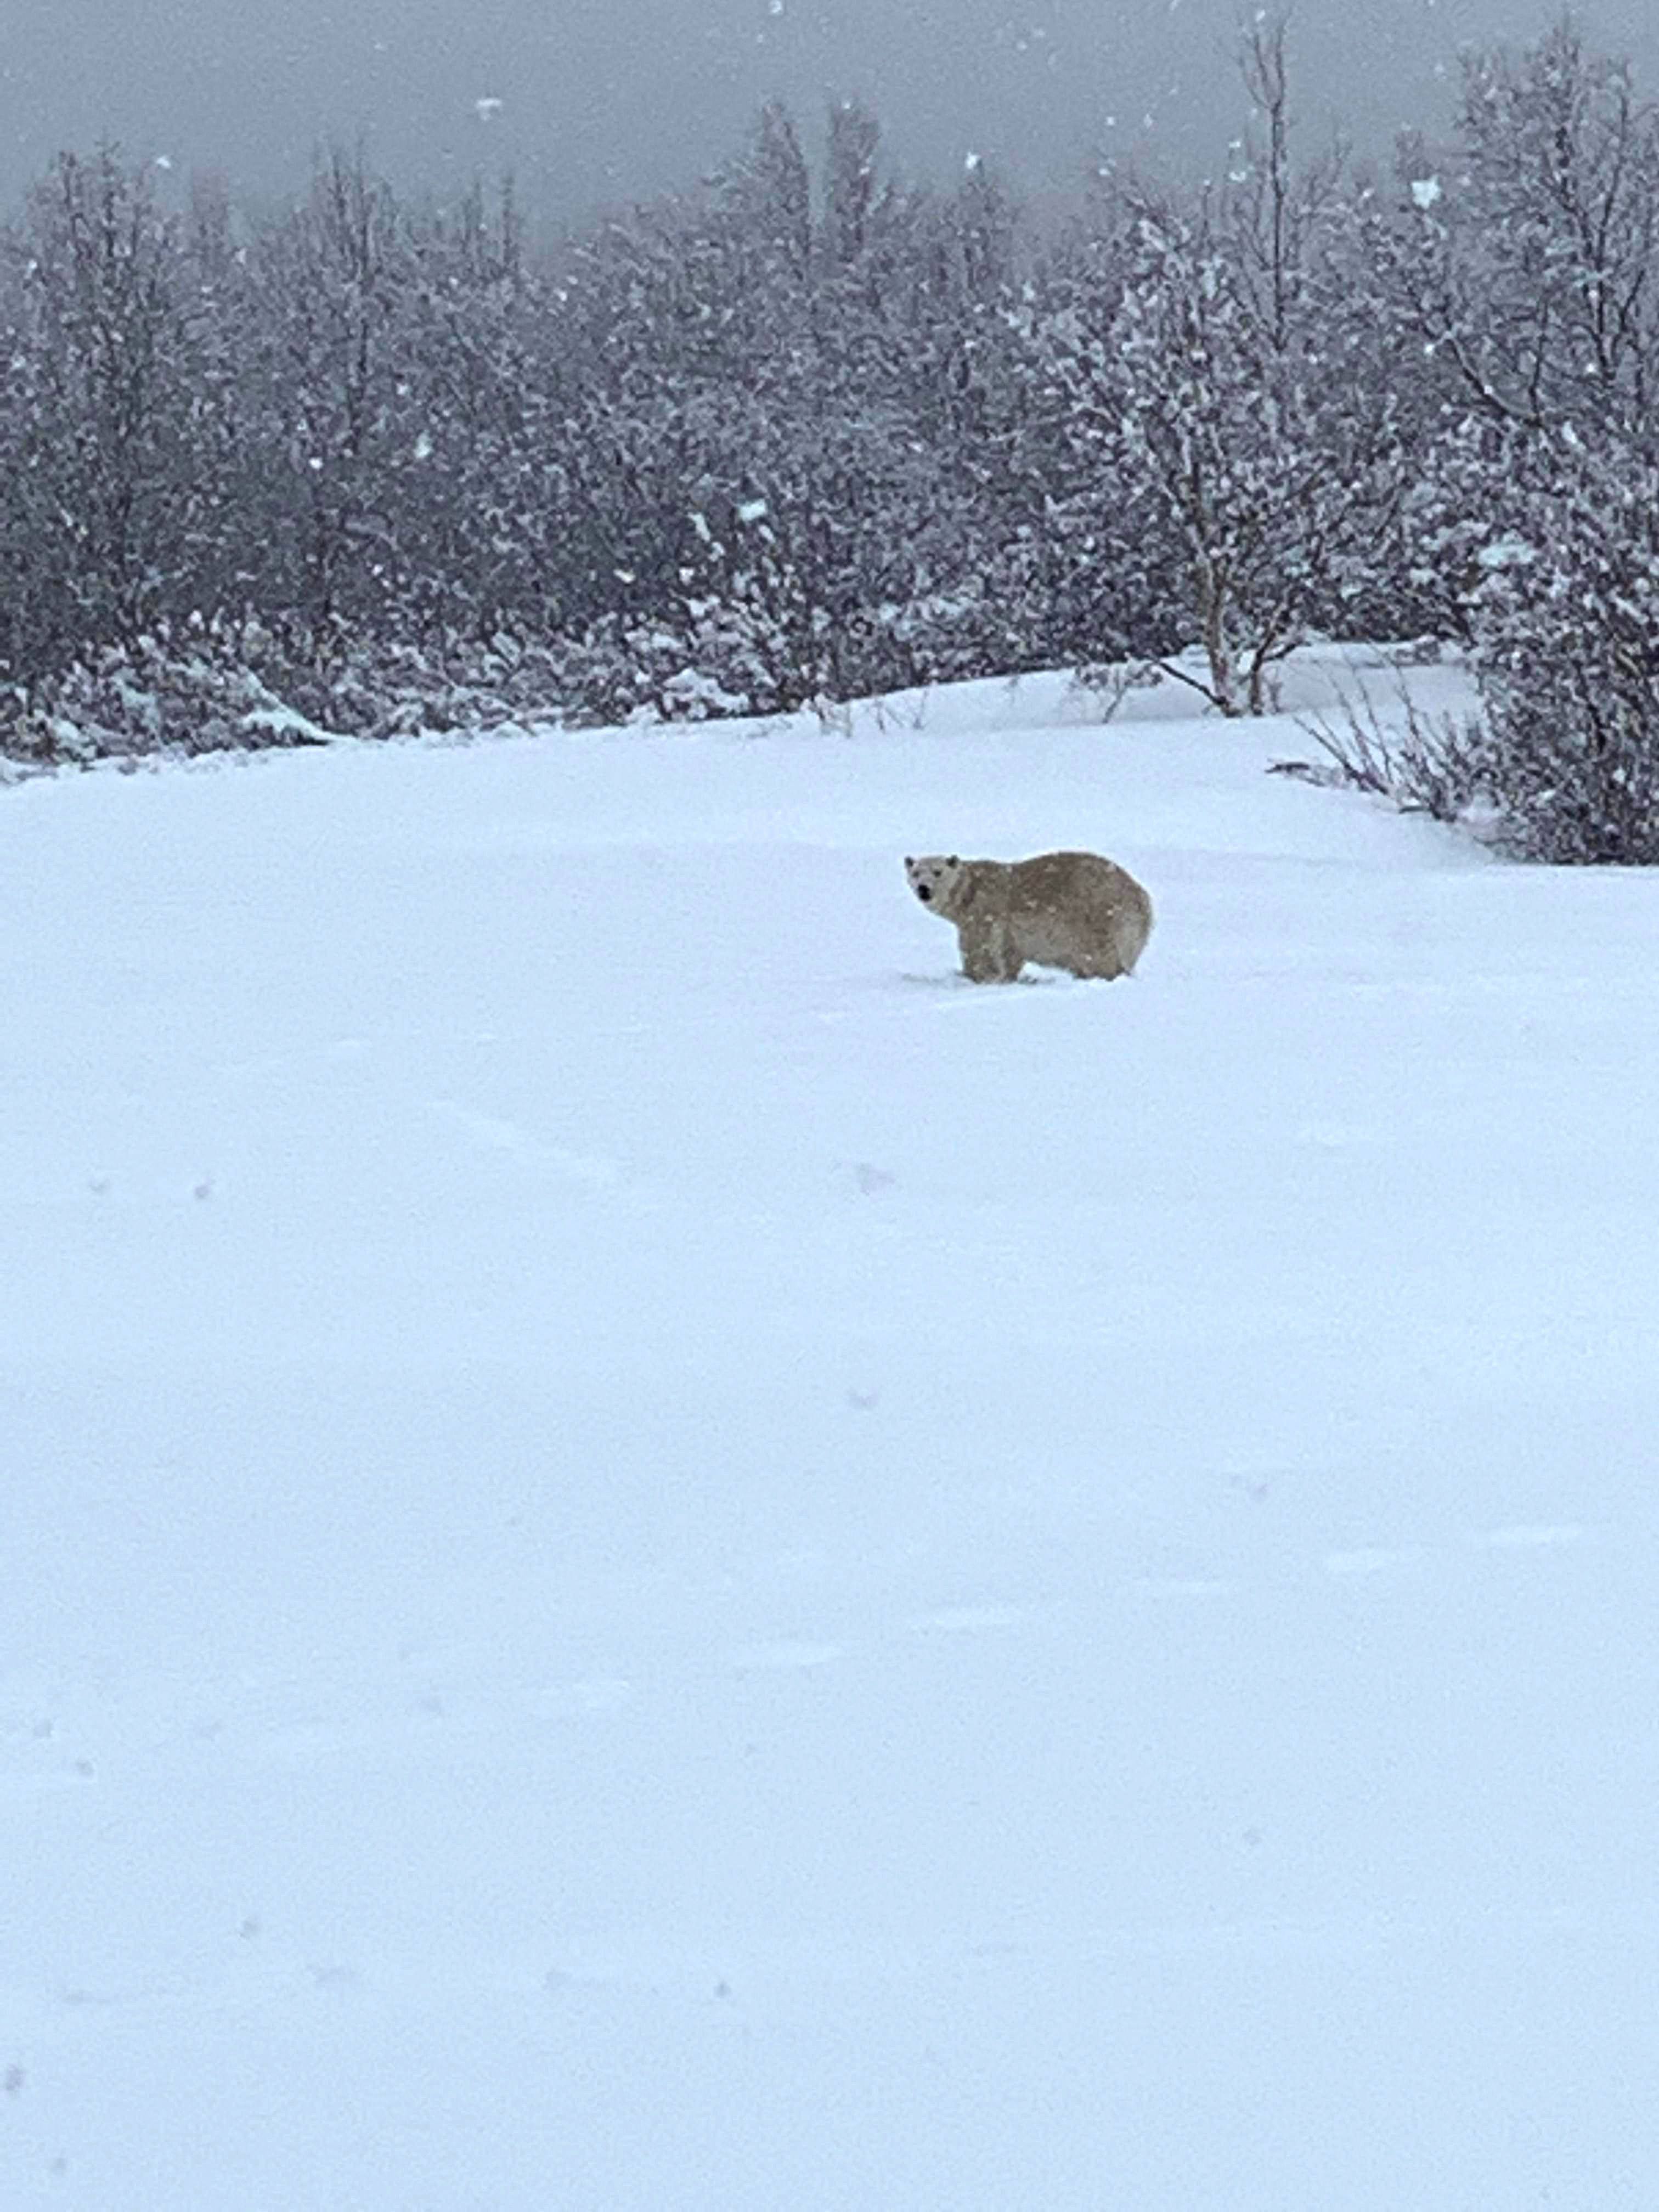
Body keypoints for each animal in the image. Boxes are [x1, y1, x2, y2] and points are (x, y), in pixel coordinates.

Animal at [911, 849, 1159, 982]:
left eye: (937, 872)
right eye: (915, 873)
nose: (924, 889)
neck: (969, 891)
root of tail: (1142, 897)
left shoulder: (984, 911)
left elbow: (979, 948)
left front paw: (975, 976)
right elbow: (1010, 955)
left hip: (1099, 917)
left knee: (1099, 956)